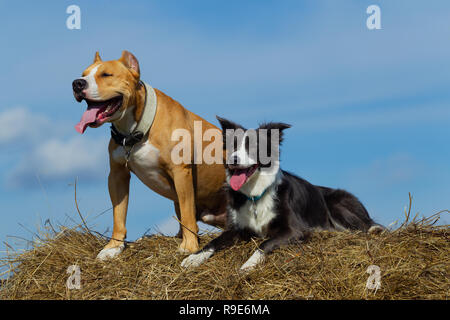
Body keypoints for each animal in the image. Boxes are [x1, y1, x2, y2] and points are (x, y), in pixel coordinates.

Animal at [72, 50, 227, 260]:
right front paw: (113, 247)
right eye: (83, 74)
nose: (77, 83)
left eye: (106, 74)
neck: (137, 128)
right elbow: (118, 214)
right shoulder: (117, 175)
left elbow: (187, 212)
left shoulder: (180, 171)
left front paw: (189, 247)